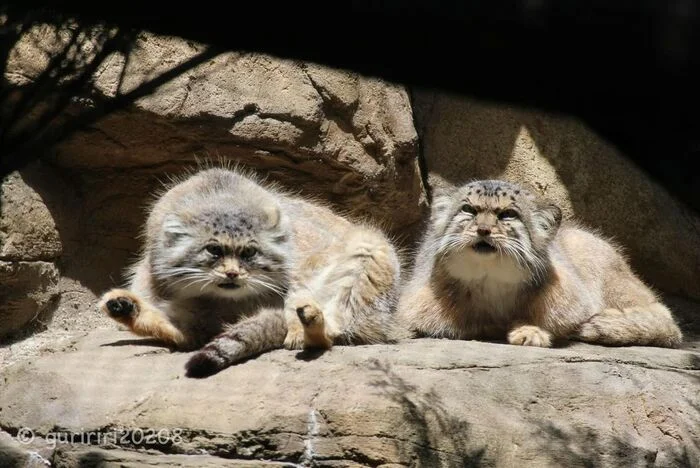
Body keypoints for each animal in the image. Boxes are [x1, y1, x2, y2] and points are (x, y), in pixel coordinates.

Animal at [98, 168, 404, 376]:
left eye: (249, 253)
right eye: (214, 250)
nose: (233, 274)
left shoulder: (306, 261)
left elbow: (297, 292)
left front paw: (295, 326)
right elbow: (186, 331)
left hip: (369, 253)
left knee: (335, 328)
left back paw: (310, 327)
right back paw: (127, 308)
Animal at [400, 179, 684, 348]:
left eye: (508, 214)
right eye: (468, 210)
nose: (483, 230)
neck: (491, 281)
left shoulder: (572, 299)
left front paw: (529, 330)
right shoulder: (417, 305)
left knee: (666, 318)